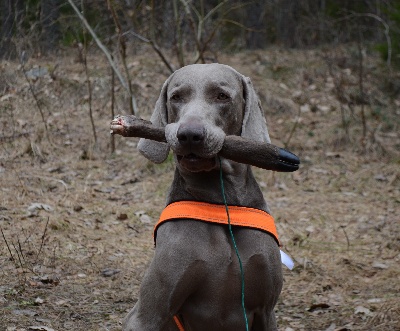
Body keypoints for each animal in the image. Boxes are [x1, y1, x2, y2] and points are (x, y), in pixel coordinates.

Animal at [123, 63, 282, 330]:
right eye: (176, 97)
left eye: (222, 96)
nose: (189, 135)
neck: (220, 203)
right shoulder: (146, 314)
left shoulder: (266, 310)